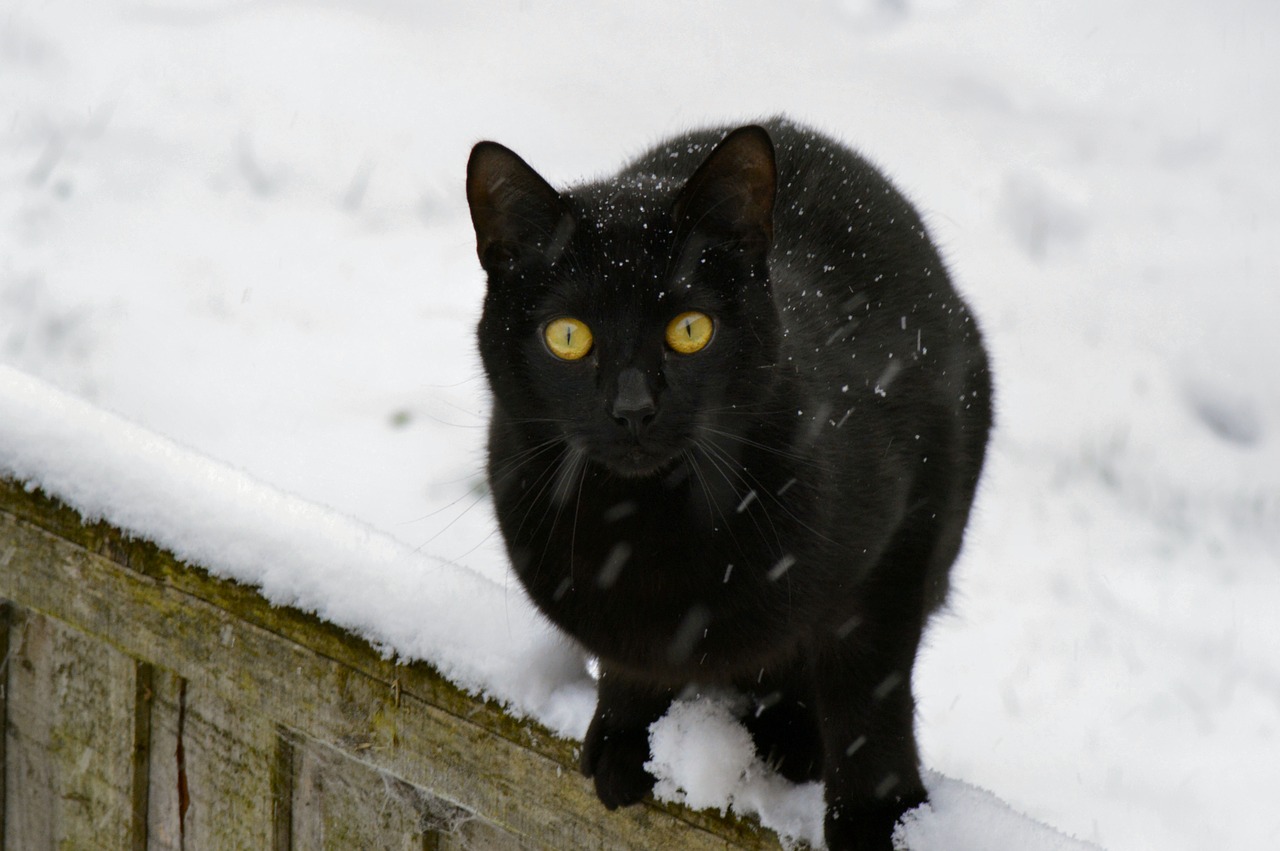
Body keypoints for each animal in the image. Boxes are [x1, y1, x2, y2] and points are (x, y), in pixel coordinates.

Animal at [465, 119, 993, 849]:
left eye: (690, 329)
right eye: (568, 336)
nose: (633, 407)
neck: (648, 526)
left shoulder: (898, 542)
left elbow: (867, 694)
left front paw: (877, 819)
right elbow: (633, 658)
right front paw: (627, 740)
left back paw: (792, 735)